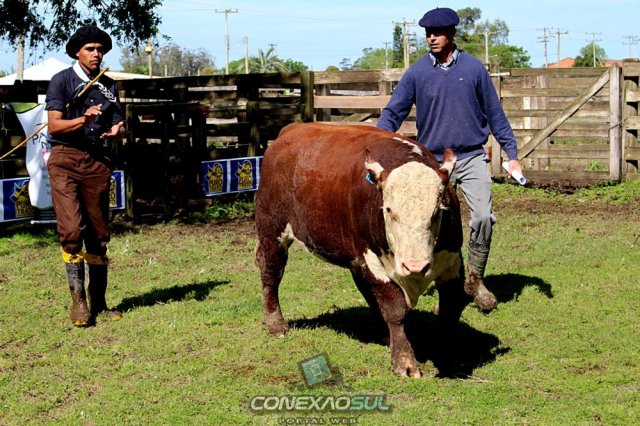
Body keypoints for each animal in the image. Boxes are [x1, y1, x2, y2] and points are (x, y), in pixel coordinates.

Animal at [254, 122, 475, 378]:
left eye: (438, 210)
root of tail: (290, 130)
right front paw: (404, 360)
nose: (415, 266)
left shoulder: (452, 260)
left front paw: (448, 351)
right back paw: (275, 324)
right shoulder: (373, 261)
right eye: (389, 210)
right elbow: (395, 309)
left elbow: (451, 306)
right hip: (272, 231)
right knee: (271, 274)